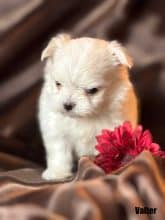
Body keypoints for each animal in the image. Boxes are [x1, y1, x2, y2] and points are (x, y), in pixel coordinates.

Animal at [38, 33, 138, 180]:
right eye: (58, 84)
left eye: (92, 90)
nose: (67, 105)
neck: (84, 117)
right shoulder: (56, 131)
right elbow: (59, 153)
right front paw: (57, 173)